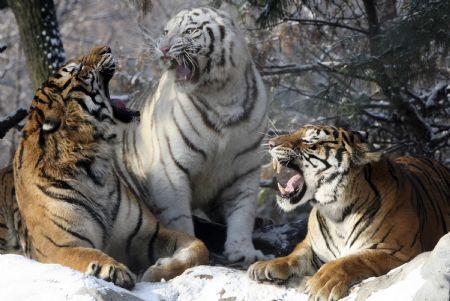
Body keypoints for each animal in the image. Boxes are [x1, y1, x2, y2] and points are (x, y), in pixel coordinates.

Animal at [1, 45, 208, 288]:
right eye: (77, 68)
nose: (106, 48)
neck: (93, 164)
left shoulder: (150, 234)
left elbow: (199, 247)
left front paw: (158, 270)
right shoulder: (59, 245)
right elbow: (85, 254)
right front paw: (112, 269)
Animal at [116, 5, 268, 262]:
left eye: (189, 31)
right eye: (165, 32)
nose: (163, 48)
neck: (222, 96)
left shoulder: (243, 170)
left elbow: (243, 213)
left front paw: (242, 251)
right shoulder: (170, 170)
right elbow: (179, 218)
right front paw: (186, 245)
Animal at [248, 123, 448, 300]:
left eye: (310, 142)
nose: (270, 143)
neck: (335, 214)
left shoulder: (399, 252)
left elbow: (353, 260)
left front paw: (322, 282)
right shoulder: (312, 247)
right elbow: (295, 255)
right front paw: (265, 266)